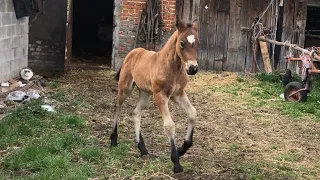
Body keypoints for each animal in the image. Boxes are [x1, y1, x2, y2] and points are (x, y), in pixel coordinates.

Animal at [111, 16, 199, 173]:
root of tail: (133, 52)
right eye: (182, 43)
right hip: (125, 87)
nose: (193, 68)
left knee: (136, 113)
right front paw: (176, 162)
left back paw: (143, 149)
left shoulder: (178, 94)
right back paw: (114, 139)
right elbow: (169, 125)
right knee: (118, 105)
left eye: (197, 42)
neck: (173, 67)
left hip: (145, 93)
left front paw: (182, 149)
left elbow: (192, 113)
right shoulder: (160, 96)